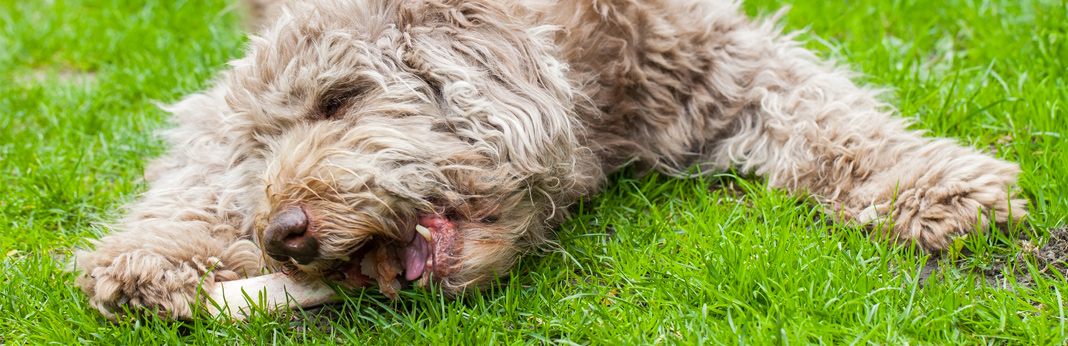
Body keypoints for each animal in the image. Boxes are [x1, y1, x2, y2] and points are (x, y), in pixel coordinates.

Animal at [73, 0, 1025, 320]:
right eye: (257, 157)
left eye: (336, 101)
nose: (282, 235)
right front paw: (150, 262)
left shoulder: (710, 53)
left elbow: (827, 115)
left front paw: (934, 186)